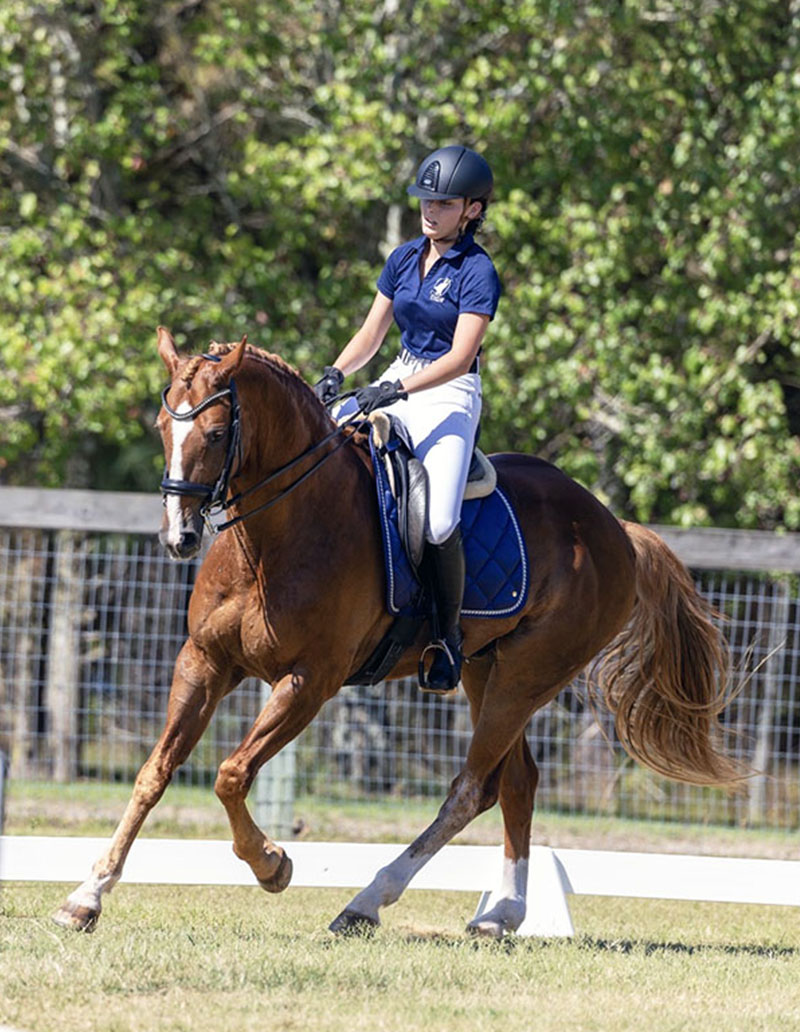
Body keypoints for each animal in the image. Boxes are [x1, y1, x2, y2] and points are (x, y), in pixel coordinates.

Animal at [53, 327, 741, 937]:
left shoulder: (309, 682)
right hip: (486, 670)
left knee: (470, 790)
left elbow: (230, 774)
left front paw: (273, 864)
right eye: (161, 428)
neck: (276, 535)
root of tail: (613, 528)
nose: (180, 538)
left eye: (219, 432)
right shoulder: (204, 660)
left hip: (529, 674)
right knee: (517, 782)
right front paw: (86, 897)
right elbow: (156, 771)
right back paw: (500, 915)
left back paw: (365, 903)